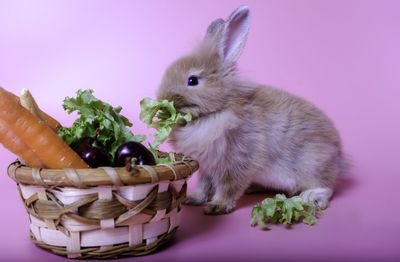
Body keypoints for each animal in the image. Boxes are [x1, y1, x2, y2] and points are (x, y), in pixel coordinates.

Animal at [156, 5, 346, 215]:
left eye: (192, 80)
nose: (163, 98)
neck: (218, 111)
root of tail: (339, 158)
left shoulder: (236, 164)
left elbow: (228, 187)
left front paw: (217, 206)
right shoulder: (206, 167)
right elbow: (203, 185)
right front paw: (194, 199)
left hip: (310, 166)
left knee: (326, 187)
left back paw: (311, 198)